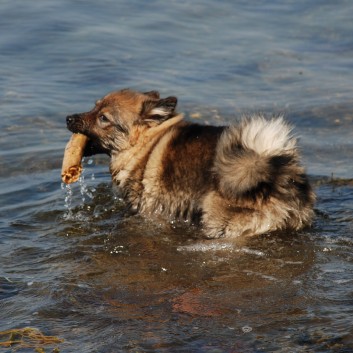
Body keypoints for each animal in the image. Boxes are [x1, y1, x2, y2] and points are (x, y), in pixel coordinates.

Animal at [66, 88, 314, 238]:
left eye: (103, 118)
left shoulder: (147, 210)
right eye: (94, 107)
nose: (68, 118)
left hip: (220, 224)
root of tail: (273, 172)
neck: (145, 145)